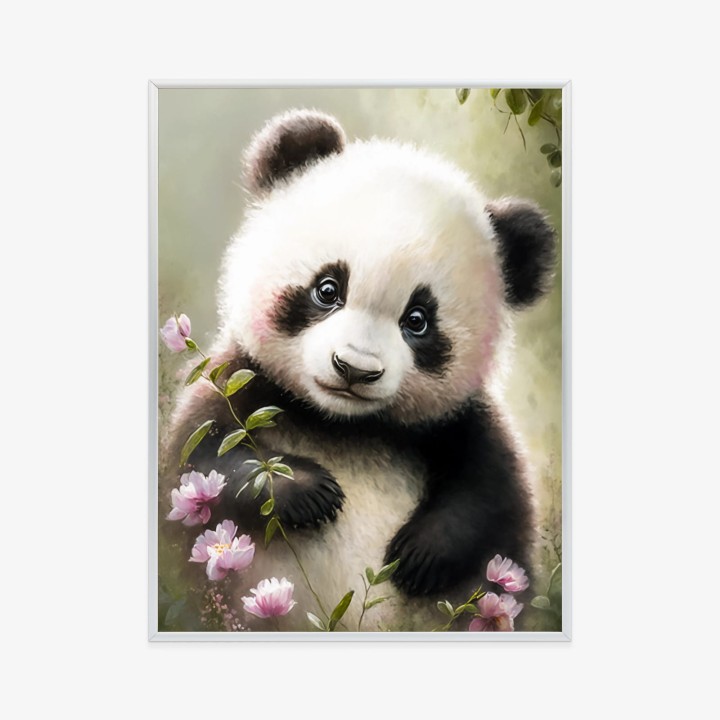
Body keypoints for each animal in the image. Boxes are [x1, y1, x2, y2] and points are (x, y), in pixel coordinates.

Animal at [161, 108, 556, 632]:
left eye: (418, 320)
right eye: (328, 289)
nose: (354, 368)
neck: (345, 425)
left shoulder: (459, 423)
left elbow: (491, 498)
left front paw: (420, 554)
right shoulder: (241, 383)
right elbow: (200, 464)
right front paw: (309, 491)